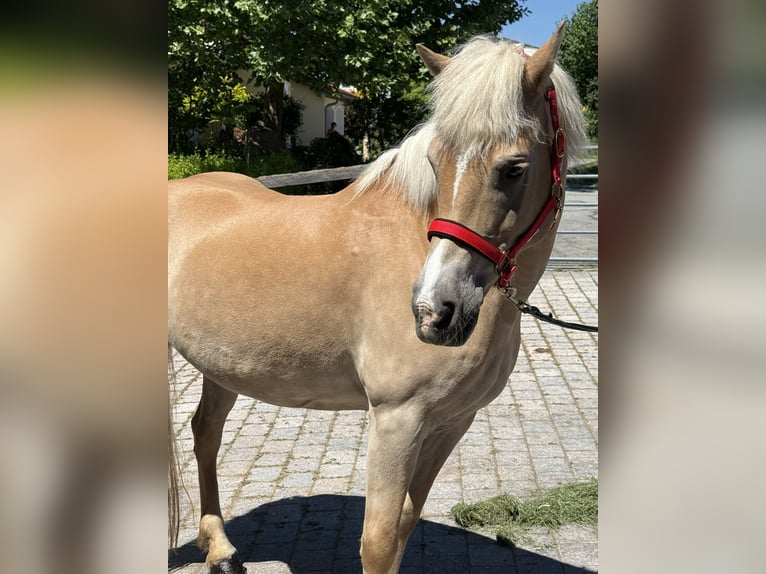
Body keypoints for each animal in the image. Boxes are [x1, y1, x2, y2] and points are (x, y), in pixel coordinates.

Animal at [168, 24, 586, 574]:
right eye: (434, 162)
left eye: (514, 168)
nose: (433, 311)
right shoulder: (396, 418)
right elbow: (379, 540)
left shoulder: (452, 421)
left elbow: (404, 527)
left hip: (221, 366)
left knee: (206, 432)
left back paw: (219, 547)